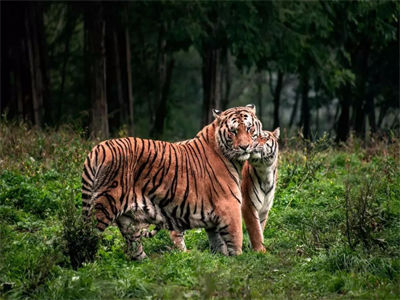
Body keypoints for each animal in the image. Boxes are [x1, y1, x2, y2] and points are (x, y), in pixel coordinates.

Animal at [81, 104, 262, 258]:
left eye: (249, 128)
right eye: (233, 131)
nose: (245, 147)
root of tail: (98, 148)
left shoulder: (214, 219)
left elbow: (219, 244)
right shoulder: (229, 205)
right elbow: (236, 239)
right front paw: (238, 260)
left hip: (127, 219)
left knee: (133, 247)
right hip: (104, 206)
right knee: (87, 236)